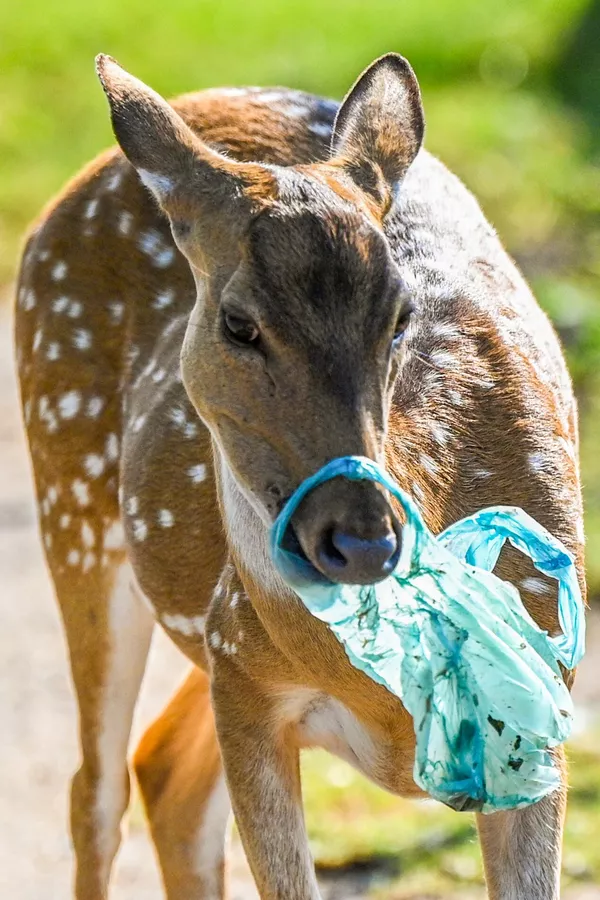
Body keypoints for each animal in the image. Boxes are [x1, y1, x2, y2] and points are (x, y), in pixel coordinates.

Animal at [15, 51, 584, 900]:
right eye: (238, 323)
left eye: (400, 317)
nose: (360, 539)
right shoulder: (244, 682)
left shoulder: (541, 706)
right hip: (73, 498)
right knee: (96, 790)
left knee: (164, 772)